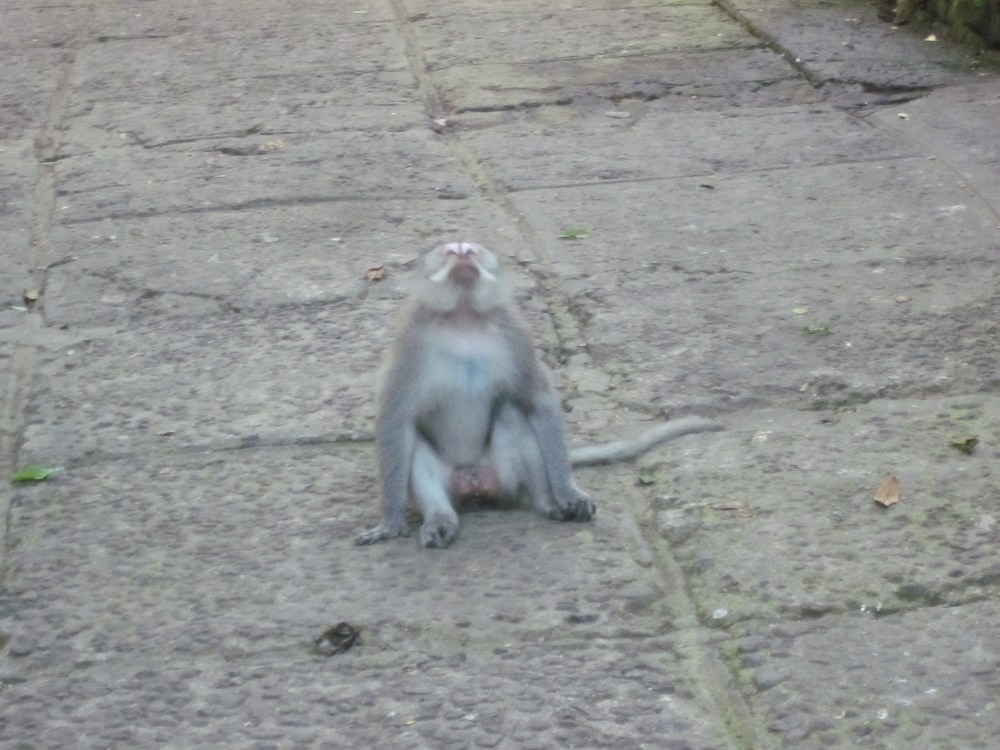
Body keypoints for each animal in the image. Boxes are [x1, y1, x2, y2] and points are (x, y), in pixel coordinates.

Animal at [356, 242, 722, 549]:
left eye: (473, 249)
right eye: (448, 251)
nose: (462, 252)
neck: (463, 315)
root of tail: (473, 481)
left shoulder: (516, 333)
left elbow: (538, 403)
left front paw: (568, 491)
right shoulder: (410, 340)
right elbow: (395, 419)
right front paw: (390, 524)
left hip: (503, 477)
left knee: (515, 413)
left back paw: (546, 502)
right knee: (416, 444)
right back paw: (440, 518)